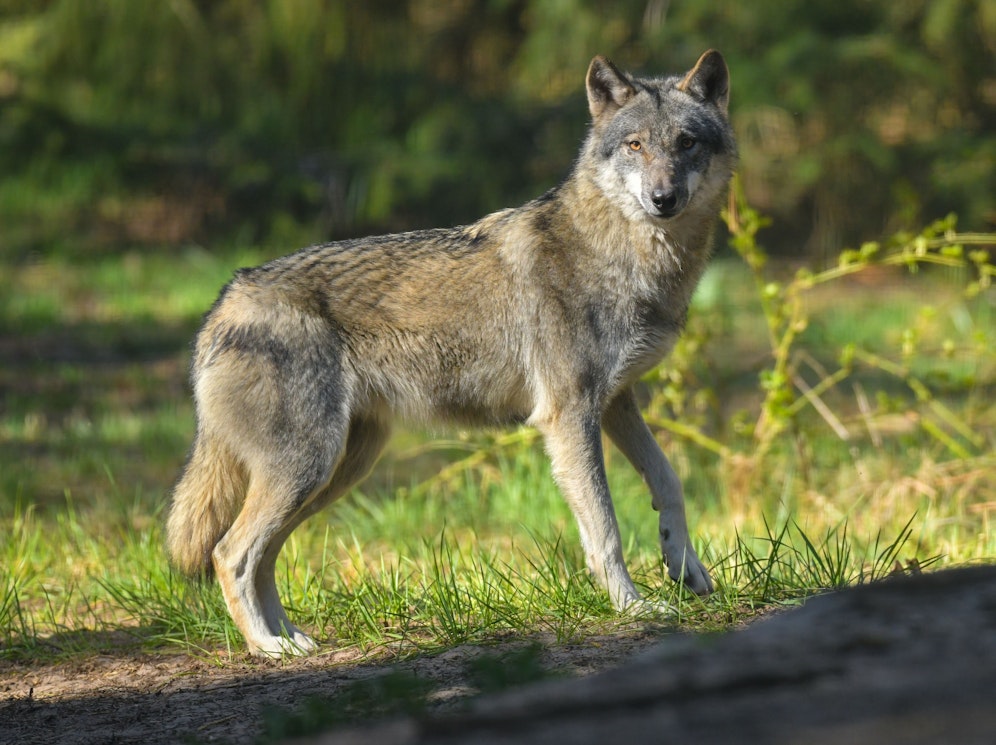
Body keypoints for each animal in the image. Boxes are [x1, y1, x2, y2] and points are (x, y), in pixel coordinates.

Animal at [167, 50, 737, 656]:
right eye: (635, 145)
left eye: (686, 142)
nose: (663, 199)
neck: (627, 255)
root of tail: (225, 300)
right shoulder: (569, 416)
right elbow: (605, 528)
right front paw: (632, 609)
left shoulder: (615, 403)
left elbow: (668, 480)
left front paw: (686, 568)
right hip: (309, 466)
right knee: (230, 553)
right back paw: (268, 648)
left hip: (334, 471)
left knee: (262, 555)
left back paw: (293, 638)